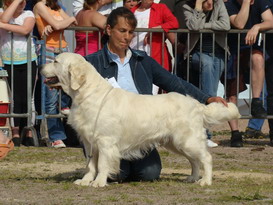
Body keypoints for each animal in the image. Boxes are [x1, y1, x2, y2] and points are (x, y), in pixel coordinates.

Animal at [41, 52, 239, 187]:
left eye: (56, 61)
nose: (41, 67)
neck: (88, 93)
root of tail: (195, 104)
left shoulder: (105, 141)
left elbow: (102, 164)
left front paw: (98, 182)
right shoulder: (89, 142)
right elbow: (91, 164)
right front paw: (85, 180)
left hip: (187, 140)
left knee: (205, 157)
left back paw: (205, 181)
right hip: (176, 143)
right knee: (194, 161)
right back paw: (192, 177)